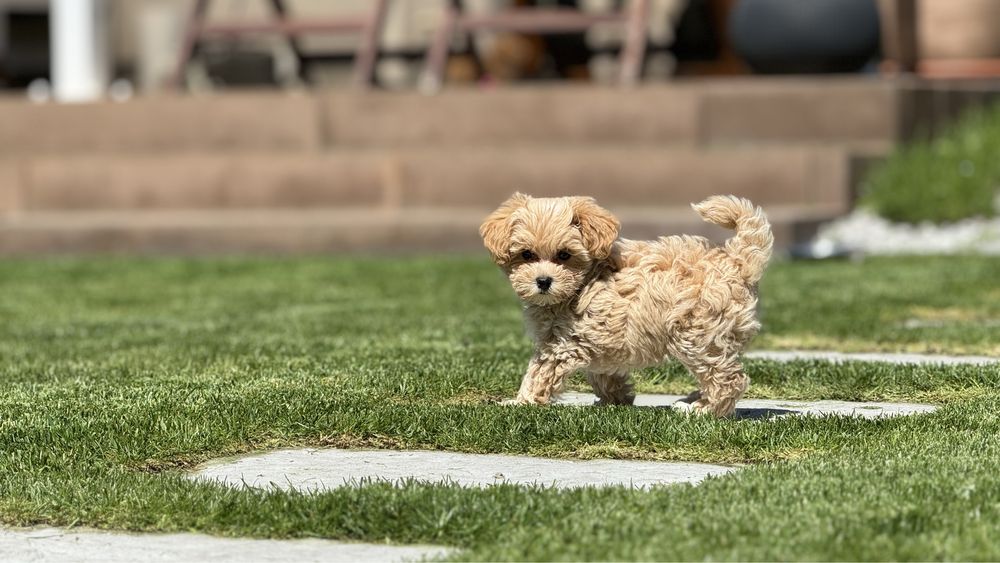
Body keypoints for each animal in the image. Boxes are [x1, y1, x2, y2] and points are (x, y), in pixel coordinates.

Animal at [482, 195, 772, 418]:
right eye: (526, 255)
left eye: (564, 255)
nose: (543, 281)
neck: (585, 281)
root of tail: (736, 261)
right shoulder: (594, 338)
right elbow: (602, 372)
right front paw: (615, 399)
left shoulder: (562, 344)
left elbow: (540, 371)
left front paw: (521, 402)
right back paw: (694, 400)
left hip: (697, 334)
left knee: (727, 378)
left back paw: (703, 409)